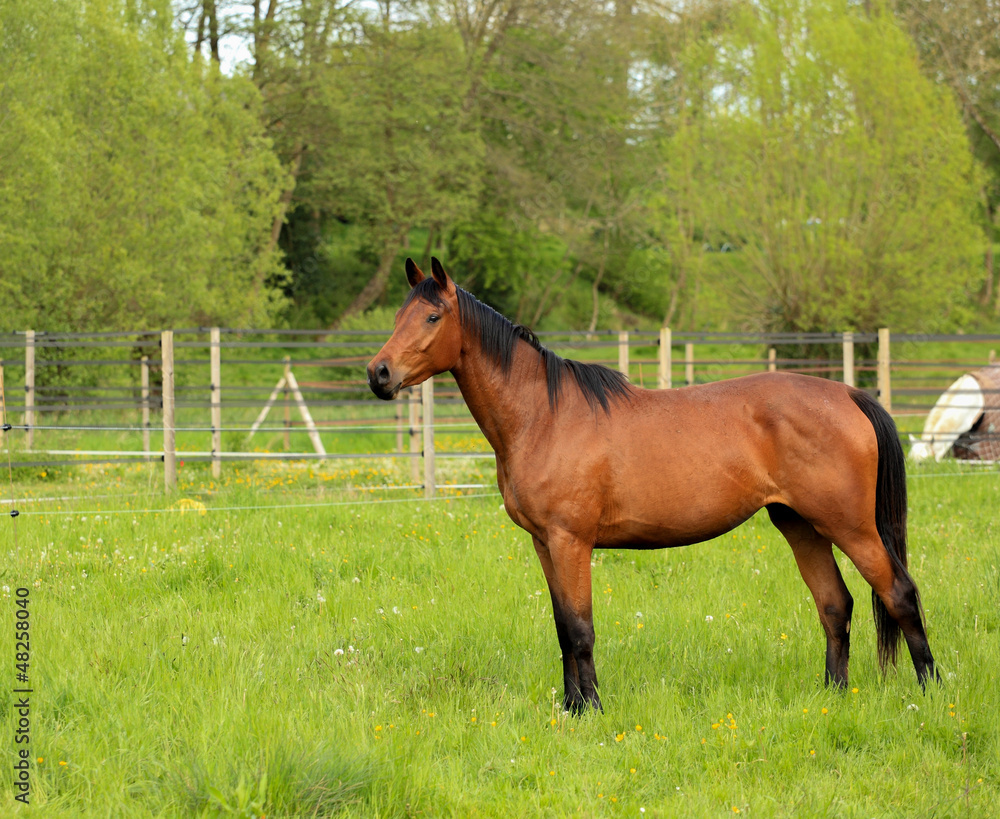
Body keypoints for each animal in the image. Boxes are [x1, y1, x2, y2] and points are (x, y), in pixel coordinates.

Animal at [367, 257, 938, 713]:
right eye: (396, 318)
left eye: (432, 317)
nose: (379, 374)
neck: (544, 416)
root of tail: (847, 394)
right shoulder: (544, 544)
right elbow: (562, 628)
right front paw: (571, 708)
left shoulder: (571, 541)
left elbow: (580, 629)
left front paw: (592, 710)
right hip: (800, 524)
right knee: (835, 605)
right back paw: (832, 696)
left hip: (851, 526)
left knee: (899, 594)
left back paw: (931, 691)